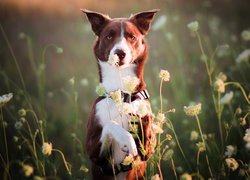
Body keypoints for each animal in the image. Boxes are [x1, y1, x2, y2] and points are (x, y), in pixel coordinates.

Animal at [83, 9, 159, 179]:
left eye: (132, 37)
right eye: (109, 36)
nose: (120, 52)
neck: (121, 95)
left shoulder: (147, 151)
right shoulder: (93, 152)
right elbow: (111, 124)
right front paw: (127, 140)